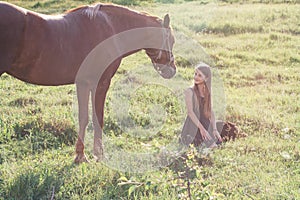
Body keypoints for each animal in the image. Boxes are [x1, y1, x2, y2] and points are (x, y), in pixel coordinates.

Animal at [0, 2, 176, 163]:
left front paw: (80, 155)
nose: (172, 70)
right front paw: (99, 154)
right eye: (171, 40)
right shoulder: (101, 83)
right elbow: (98, 117)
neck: (110, 28)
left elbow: (83, 117)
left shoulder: (84, 83)